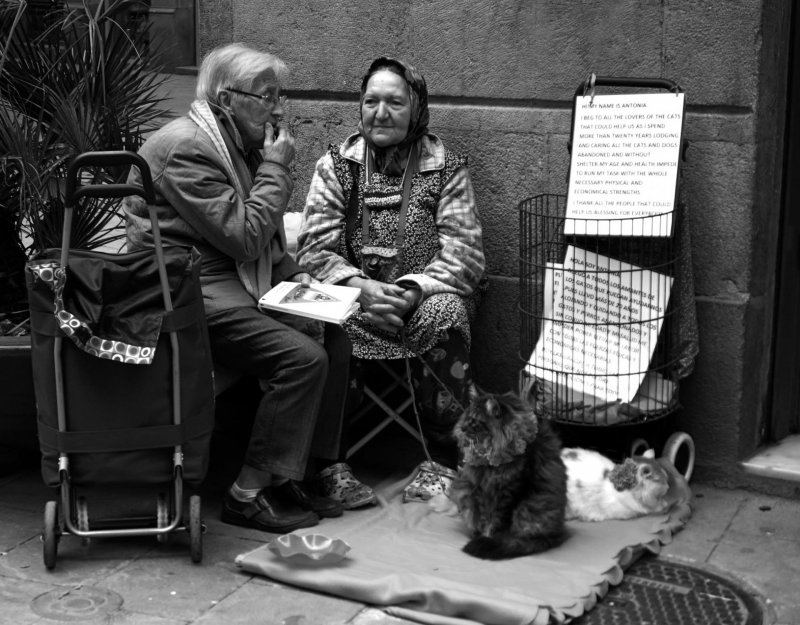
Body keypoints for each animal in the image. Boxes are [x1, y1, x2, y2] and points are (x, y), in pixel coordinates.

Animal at [450, 388, 568, 560]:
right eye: (466, 417)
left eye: (474, 421)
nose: (463, 428)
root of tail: (558, 534)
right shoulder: (480, 489)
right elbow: (482, 517)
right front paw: (480, 534)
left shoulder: (508, 491)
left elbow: (497, 523)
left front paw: (490, 539)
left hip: (528, 508)